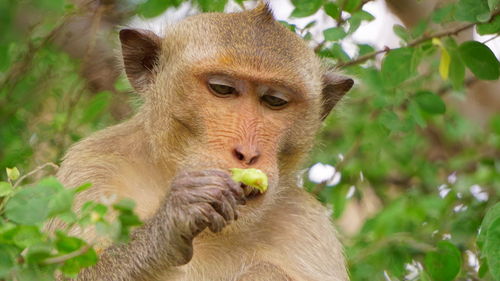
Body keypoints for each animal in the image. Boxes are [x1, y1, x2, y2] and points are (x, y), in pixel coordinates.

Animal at [50, 2, 354, 280]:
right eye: (222, 88)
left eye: (274, 101)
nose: (247, 153)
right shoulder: (93, 166)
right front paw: (172, 221)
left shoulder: (308, 225)